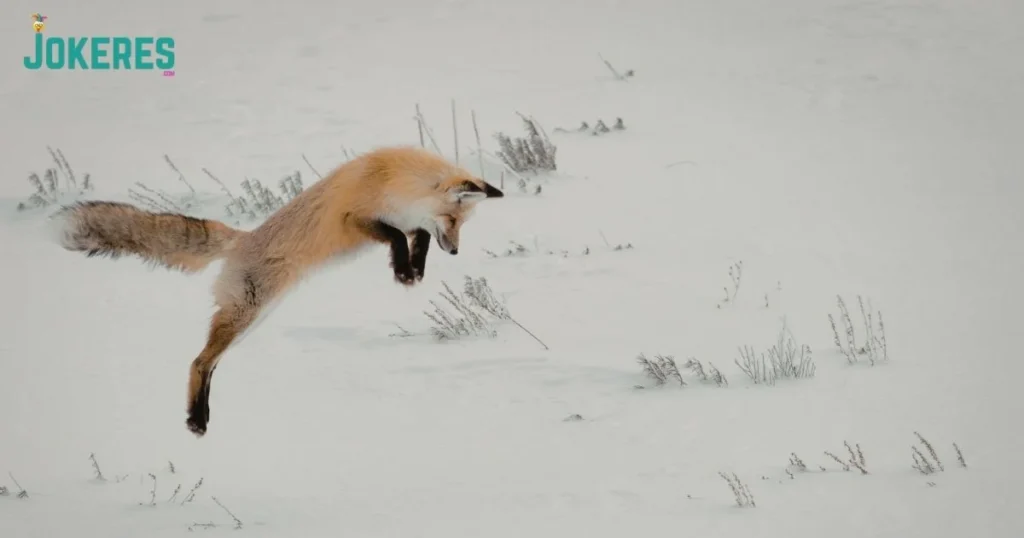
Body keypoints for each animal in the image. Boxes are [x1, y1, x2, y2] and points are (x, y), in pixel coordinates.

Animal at [52, 145, 504, 437]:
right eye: (454, 220)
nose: (456, 250)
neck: (395, 181)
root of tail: (242, 238)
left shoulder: (409, 222)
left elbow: (417, 238)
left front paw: (414, 271)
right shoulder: (355, 219)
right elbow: (394, 235)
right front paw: (404, 271)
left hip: (253, 318)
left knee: (210, 363)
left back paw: (200, 417)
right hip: (246, 312)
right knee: (199, 362)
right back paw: (196, 420)